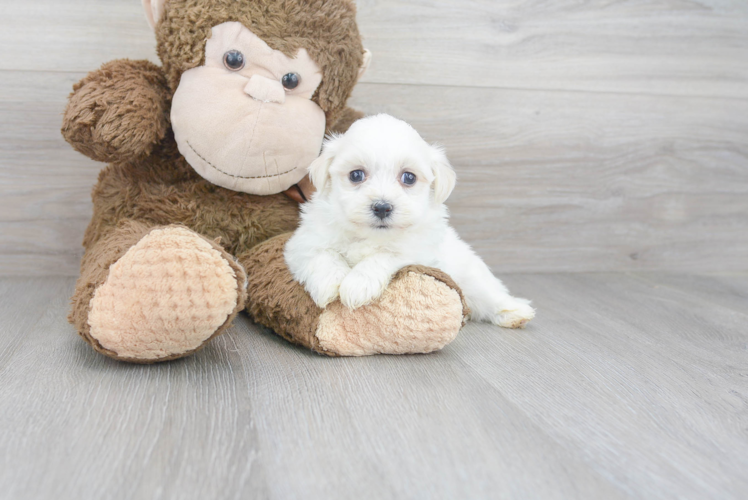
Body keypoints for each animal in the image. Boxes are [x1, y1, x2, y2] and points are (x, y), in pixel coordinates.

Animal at [284, 113, 536, 328]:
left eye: (409, 177)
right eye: (356, 175)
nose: (382, 207)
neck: (370, 236)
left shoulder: (417, 250)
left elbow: (384, 256)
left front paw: (357, 285)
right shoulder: (303, 243)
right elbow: (322, 254)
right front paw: (329, 283)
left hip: (472, 277)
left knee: (491, 296)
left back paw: (515, 312)